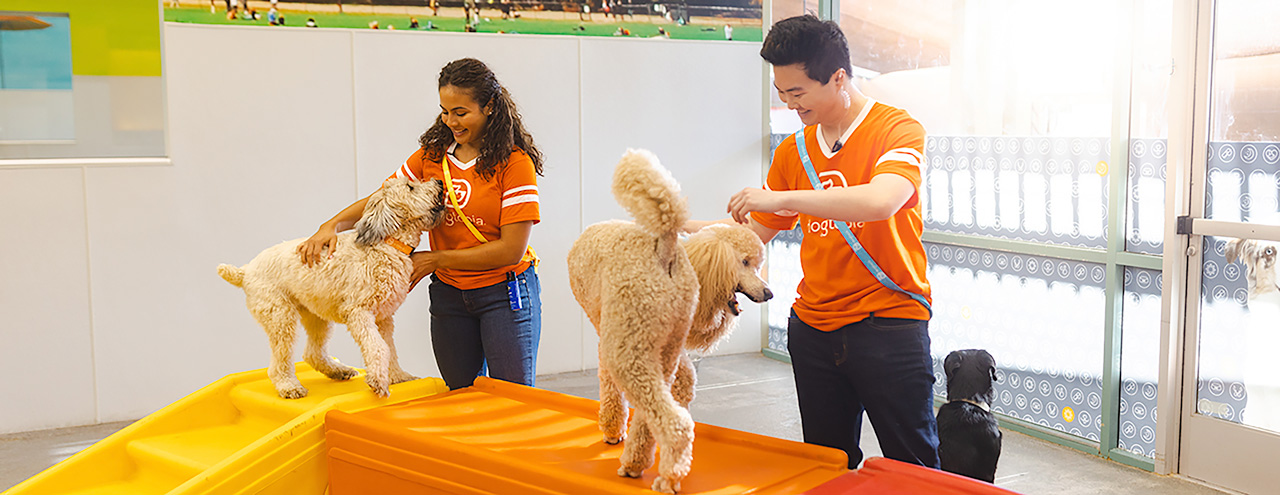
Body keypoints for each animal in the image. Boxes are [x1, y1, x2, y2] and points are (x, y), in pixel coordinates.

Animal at [218, 177, 446, 399]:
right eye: (410, 186)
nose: (440, 182)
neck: (387, 244)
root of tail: (246, 271)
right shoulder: (359, 313)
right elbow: (378, 347)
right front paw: (378, 382)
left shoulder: (384, 318)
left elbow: (390, 348)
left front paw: (399, 376)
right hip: (281, 318)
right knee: (279, 362)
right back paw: (289, 386)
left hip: (316, 316)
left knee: (312, 354)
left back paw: (338, 371)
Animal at [567, 149, 771, 494]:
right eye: (745, 262)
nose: (768, 292)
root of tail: (665, 250)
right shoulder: (671, 348)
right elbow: (684, 383)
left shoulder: (610, 340)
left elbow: (609, 387)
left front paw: (611, 428)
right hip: (655, 348)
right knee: (654, 412)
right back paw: (636, 462)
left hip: (628, 350)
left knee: (673, 422)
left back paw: (666, 475)